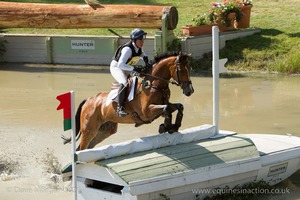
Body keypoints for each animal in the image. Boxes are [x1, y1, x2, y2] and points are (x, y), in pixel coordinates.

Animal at [63, 51, 195, 150]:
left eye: (190, 68)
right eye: (182, 70)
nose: (190, 91)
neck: (154, 84)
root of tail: (88, 101)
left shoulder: (161, 107)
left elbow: (178, 106)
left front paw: (173, 127)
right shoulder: (147, 112)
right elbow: (167, 109)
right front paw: (165, 127)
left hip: (106, 129)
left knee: (89, 146)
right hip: (89, 129)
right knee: (81, 148)